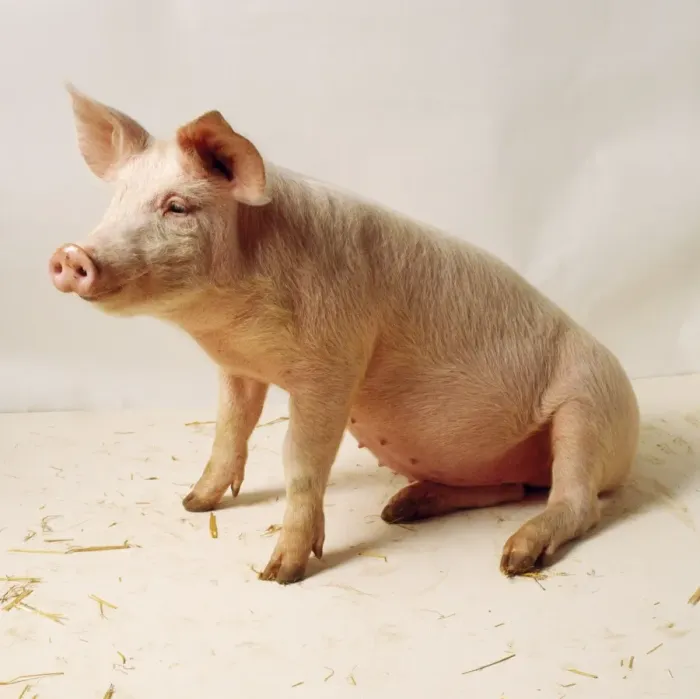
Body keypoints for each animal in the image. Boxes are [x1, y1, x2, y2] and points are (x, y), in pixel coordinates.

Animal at [50, 85, 640, 584]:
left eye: (177, 206)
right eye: (115, 203)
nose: (72, 254)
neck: (234, 323)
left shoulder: (332, 365)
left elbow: (300, 458)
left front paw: (278, 574)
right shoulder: (238, 369)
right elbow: (228, 431)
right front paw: (194, 503)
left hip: (588, 408)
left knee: (578, 501)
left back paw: (513, 559)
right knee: (515, 487)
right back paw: (403, 508)